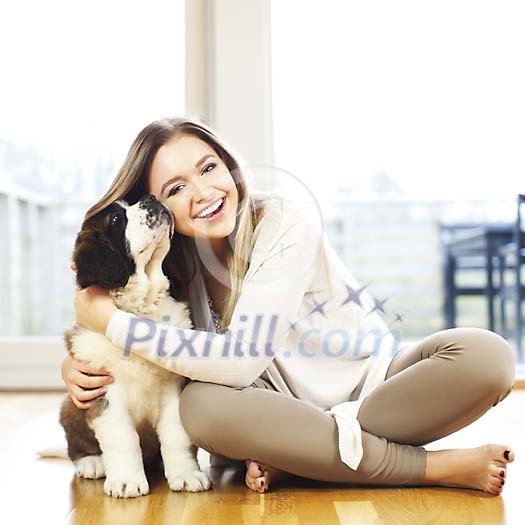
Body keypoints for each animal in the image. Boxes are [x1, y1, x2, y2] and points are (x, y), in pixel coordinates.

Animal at [57, 194, 211, 498]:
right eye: (117, 219)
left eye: (132, 202)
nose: (151, 198)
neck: (140, 311)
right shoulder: (105, 391)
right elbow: (122, 438)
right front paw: (127, 481)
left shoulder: (173, 388)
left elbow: (176, 434)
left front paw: (186, 475)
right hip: (70, 405)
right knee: (75, 445)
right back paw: (92, 462)